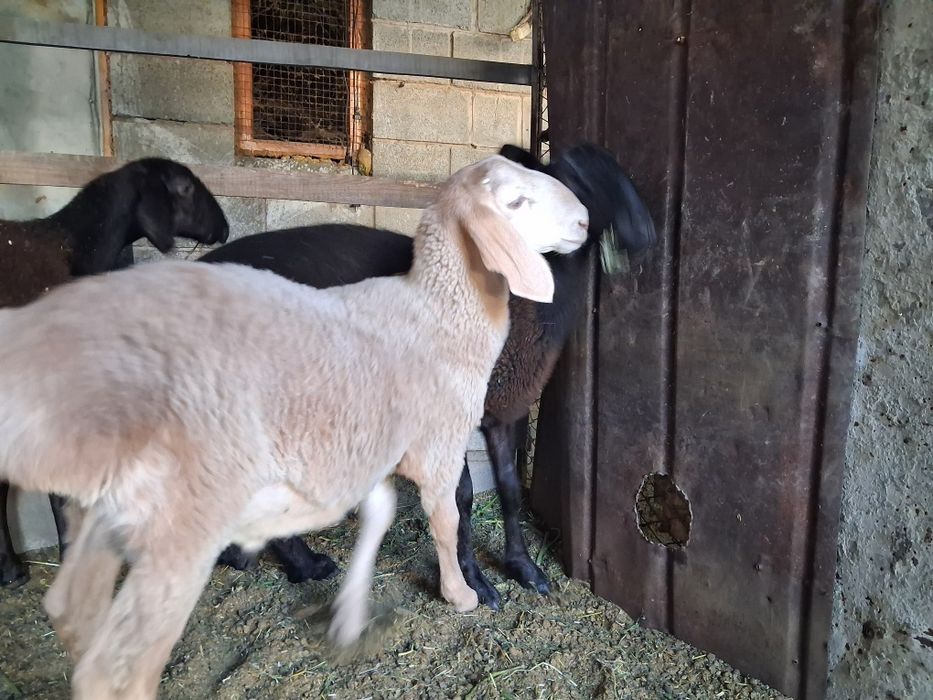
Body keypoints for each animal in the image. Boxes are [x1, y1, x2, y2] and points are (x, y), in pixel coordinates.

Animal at [202, 143, 656, 607]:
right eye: (572, 178)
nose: (644, 232)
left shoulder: (505, 408)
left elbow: (510, 490)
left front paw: (525, 568)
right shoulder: (447, 414)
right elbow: (461, 498)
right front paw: (476, 582)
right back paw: (301, 564)